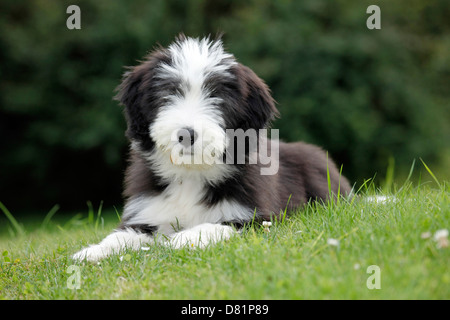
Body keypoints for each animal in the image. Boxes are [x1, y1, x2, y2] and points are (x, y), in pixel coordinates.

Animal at [72, 35, 350, 262]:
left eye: (218, 98)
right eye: (168, 93)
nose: (186, 134)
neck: (191, 174)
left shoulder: (256, 219)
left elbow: (216, 226)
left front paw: (181, 239)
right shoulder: (146, 212)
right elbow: (122, 234)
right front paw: (92, 252)